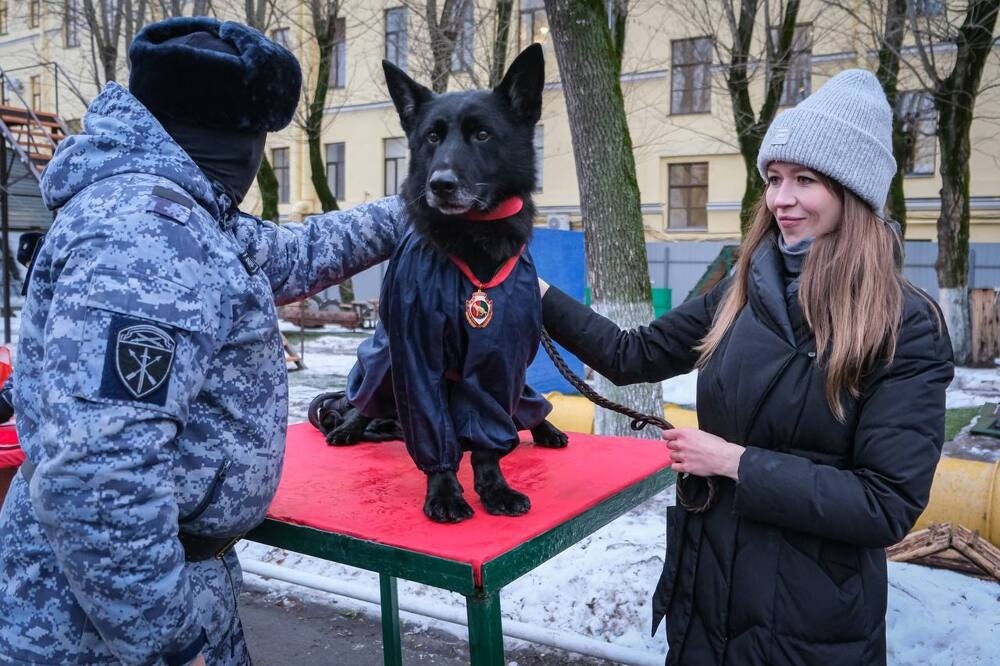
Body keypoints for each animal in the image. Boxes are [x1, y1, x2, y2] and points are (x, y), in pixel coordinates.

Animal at [312, 45, 568, 524]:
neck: (473, 242)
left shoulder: (499, 358)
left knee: (527, 406)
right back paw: (349, 428)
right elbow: (432, 432)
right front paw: (446, 493)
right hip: (383, 362)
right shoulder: (416, 352)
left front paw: (494, 487)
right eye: (431, 138)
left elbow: (489, 438)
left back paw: (545, 428)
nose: (440, 185)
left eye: (482, 134)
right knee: (363, 400)